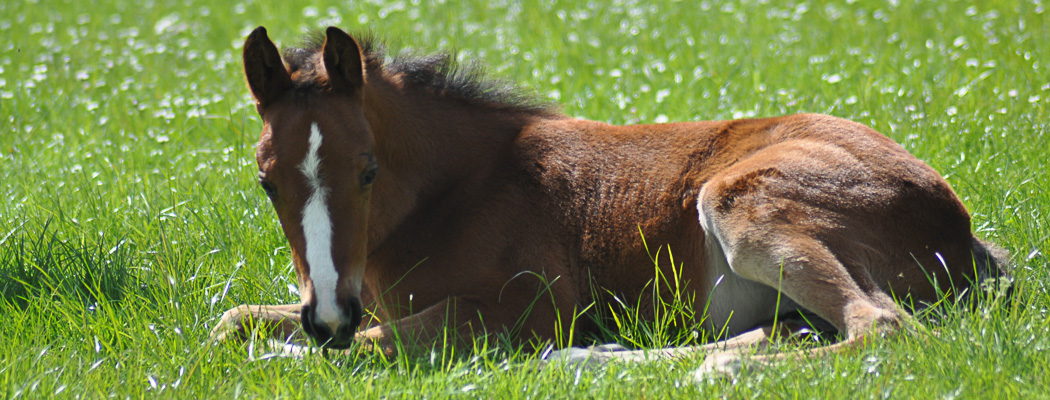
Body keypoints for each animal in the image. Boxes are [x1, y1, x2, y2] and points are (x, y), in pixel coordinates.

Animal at [213, 25, 1007, 371]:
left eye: (368, 171)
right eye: (266, 181)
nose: (328, 315)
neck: (450, 193)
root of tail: (963, 228)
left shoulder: (525, 305)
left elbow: (355, 349)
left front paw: (288, 356)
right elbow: (232, 322)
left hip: (741, 202)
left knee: (879, 325)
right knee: (792, 329)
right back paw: (597, 356)